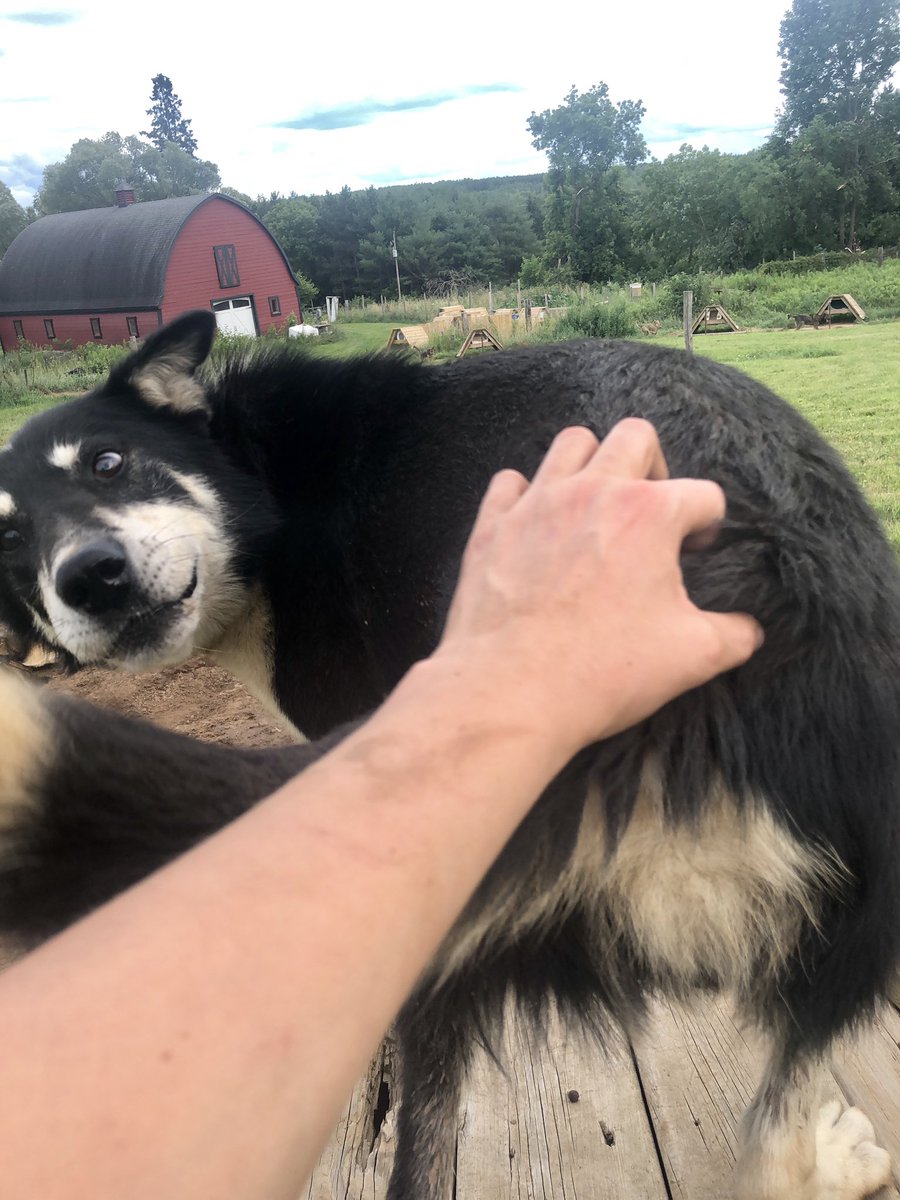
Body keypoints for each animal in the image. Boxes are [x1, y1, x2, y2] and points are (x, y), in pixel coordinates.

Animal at [0, 312, 897, 1200]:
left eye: (109, 463)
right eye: (6, 535)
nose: (93, 578)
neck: (266, 483)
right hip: (848, 930)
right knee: (779, 1127)